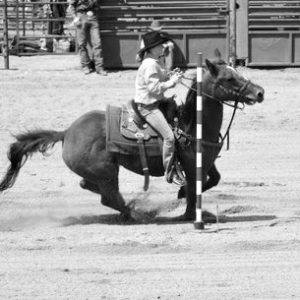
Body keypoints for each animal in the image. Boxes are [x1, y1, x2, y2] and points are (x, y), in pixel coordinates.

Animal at [0, 55, 264, 221]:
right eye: (229, 79)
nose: (260, 92)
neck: (192, 123)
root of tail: (66, 132)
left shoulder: (207, 162)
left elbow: (213, 180)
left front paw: (180, 197)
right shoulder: (192, 166)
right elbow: (192, 192)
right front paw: (189, 214)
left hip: (101, 172)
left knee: (92, 187)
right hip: (107, 171)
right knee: (109, 197)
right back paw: (137, 214)